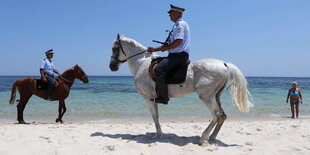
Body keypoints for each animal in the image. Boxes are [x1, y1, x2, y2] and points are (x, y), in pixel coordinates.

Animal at [109, 34, 252, 145]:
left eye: (114, 48)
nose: (112, 66)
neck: (141, 63)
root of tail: (224, 64)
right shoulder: (153, 98)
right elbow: (157, 116)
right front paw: (159, 134)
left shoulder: (148, 98)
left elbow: (154, 116)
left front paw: (157, 135)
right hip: (216, 96)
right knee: (222, 115)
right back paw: (212, 137)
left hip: (206, 96)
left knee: (216, 115)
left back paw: (203, 138)